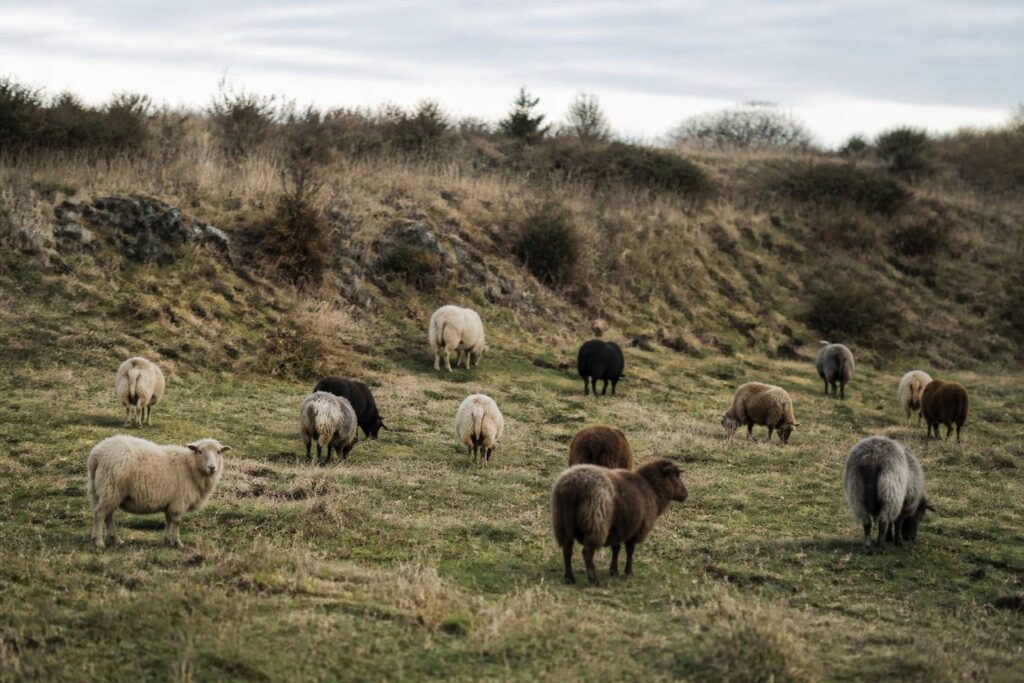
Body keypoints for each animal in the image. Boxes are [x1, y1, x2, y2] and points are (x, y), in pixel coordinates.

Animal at [87, 435, 230, 548]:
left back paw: (116, 540)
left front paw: (167, 540)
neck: (190, 466)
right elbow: (177, 522)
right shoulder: (179, 501)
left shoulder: (170, 502)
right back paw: (99, 541)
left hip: (101, 491)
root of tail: (96, 454)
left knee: (108, 516)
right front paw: (178, 542)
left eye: (219, 452)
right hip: (111, 488)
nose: (212, 467)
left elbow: (168, 521)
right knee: (100, 514)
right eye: (200, 451)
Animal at [552, 458, 688, 585]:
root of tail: (573, 486)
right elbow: (630, 550)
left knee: (567, 549)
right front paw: (629, 572)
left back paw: (569, 578)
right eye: (674, 475)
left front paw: (614, 572)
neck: (652, 489)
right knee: (587, 552)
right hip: (596, 523)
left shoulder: (618, 528)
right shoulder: (636, 529)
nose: (686, 494)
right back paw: (594, 580)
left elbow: (616, 549)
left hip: (563, 522)